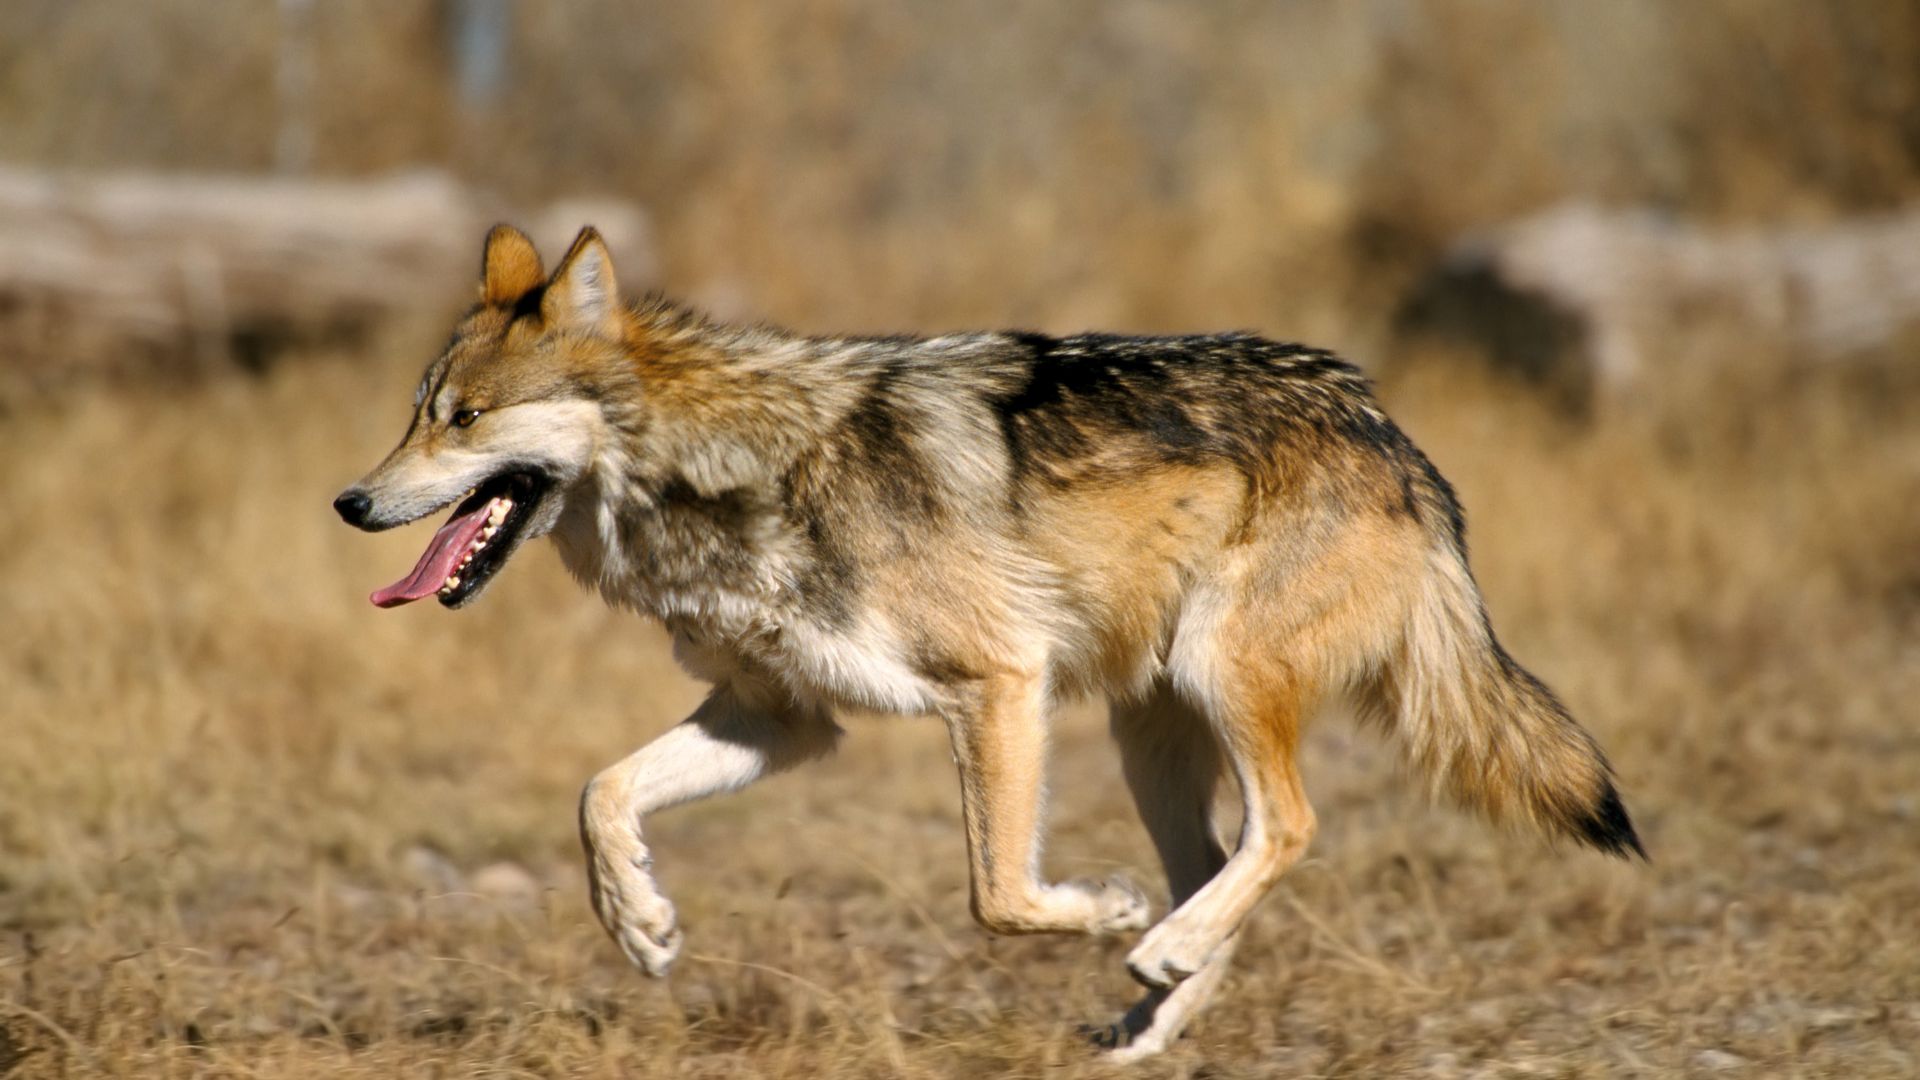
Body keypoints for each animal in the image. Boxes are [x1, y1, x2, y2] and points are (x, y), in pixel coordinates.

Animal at [334, 225, 1642, 1060]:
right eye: (414, 415)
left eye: (465, 419)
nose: (349, 502)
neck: (729, 470)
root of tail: (1389, 431)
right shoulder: (781, 720)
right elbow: (600, 794)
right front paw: (641, 925)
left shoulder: (997, 684)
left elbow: (999, 896)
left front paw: (1100, 911)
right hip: (1149, 735)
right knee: (1222, 864)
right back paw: (1152, 1011)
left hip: (1214, 680)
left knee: (1287, 829)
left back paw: (1152, 947)